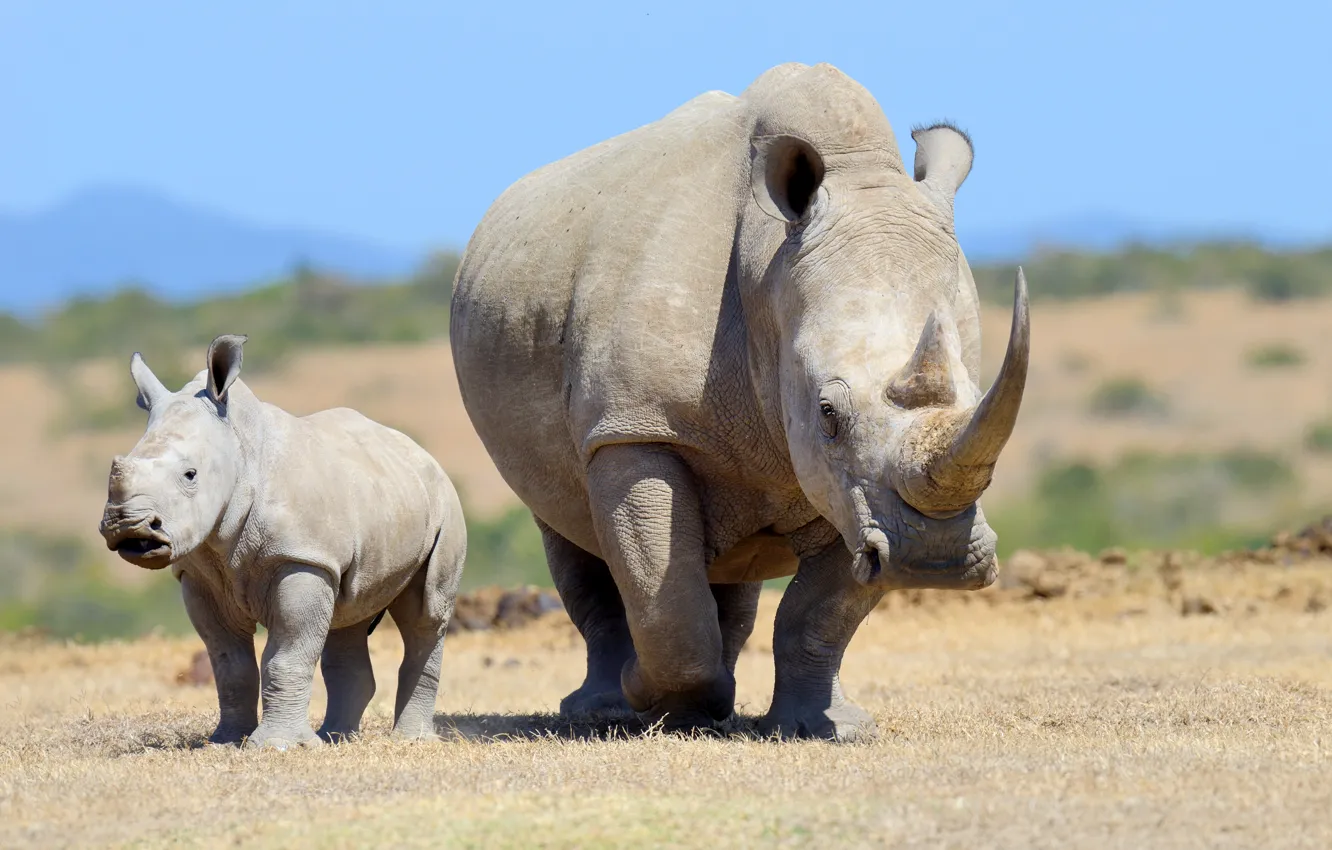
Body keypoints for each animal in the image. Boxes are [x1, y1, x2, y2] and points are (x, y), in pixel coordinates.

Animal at [98, 335, 467, 748]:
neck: (239, 449)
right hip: (370, 506)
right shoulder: (199, 574)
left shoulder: (301, 558)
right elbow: (229, 663)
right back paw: (334, 738)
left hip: (444, 505)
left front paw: (275, 745)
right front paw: (226, 741)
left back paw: (409, 741)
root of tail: (422, 453)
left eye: (190, 474)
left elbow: (286, 655)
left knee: (425, 613)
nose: (130, 528)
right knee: (347, 614)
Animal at [450, 62, 1029, 740]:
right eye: (829, 415)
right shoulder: (634, 425)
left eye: (978, 400)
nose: (934, 558)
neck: (767, 269)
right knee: (569, 530)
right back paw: (609, 709)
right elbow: (665, 601)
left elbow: (819, 613)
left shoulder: (856, 493)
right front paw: (653, 699)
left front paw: (825, 727)